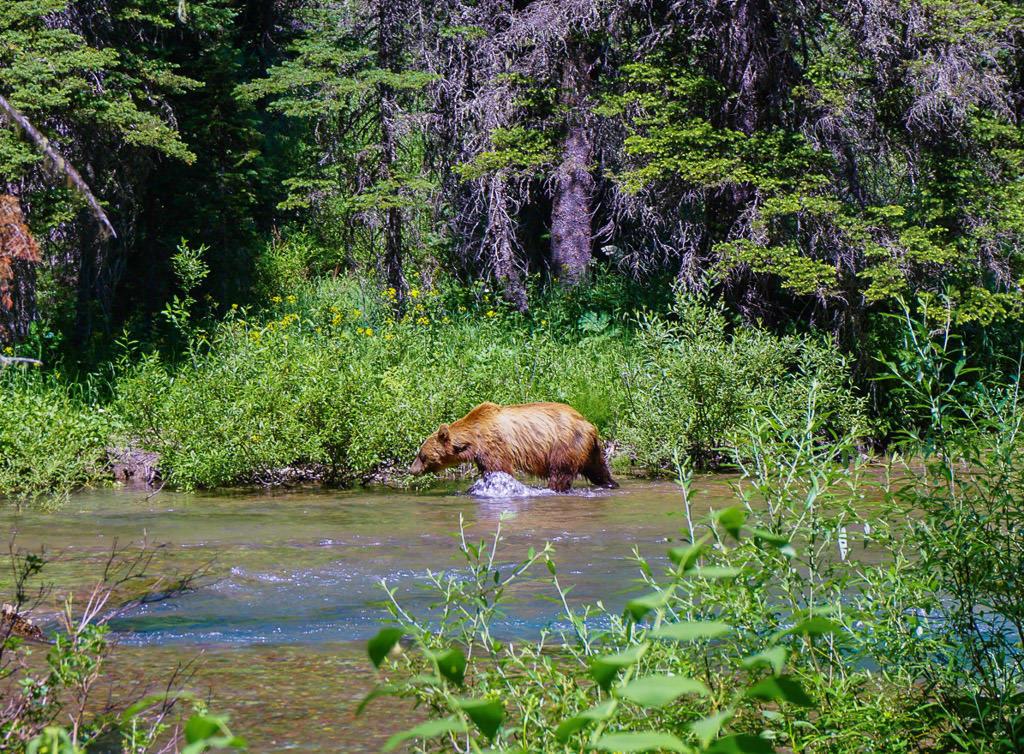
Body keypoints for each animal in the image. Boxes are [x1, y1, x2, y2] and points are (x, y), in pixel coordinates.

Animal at [407, 401, 618, 492]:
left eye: (422, 455)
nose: (411, 469)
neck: (474, 438)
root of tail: (589, 424)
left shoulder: (494, 446)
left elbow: (499, 470)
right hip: (589, 449)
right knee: (598, 469)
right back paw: (611, 483)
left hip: (565, 444)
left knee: (561, 473)